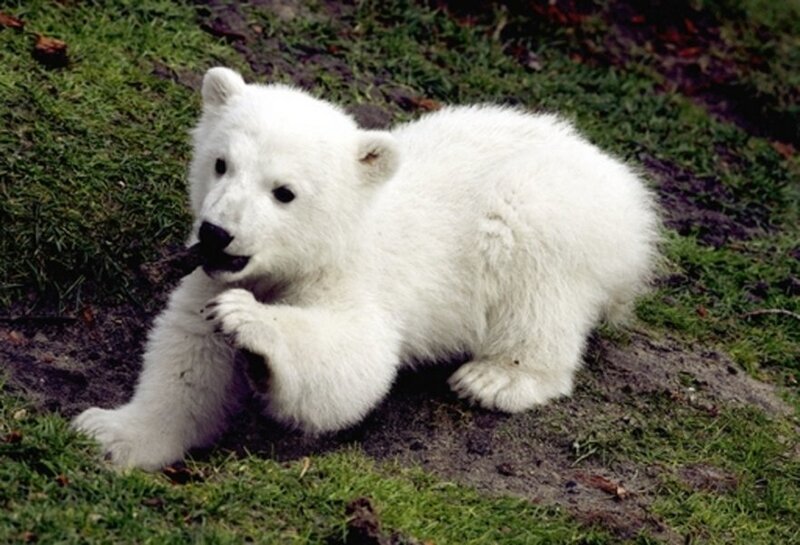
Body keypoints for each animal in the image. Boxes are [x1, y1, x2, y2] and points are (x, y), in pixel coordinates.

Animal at [73, 67, 660, 470]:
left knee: (537, 288)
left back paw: (496, 378)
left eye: (284, 192)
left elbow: (356, 359)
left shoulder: (359, 278)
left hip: (549, 216)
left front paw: (252, 324)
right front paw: (110, 432)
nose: (217, 233)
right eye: (220, 163)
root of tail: (625, 189)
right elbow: (187, 357)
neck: (341, 233)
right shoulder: (211, 276)